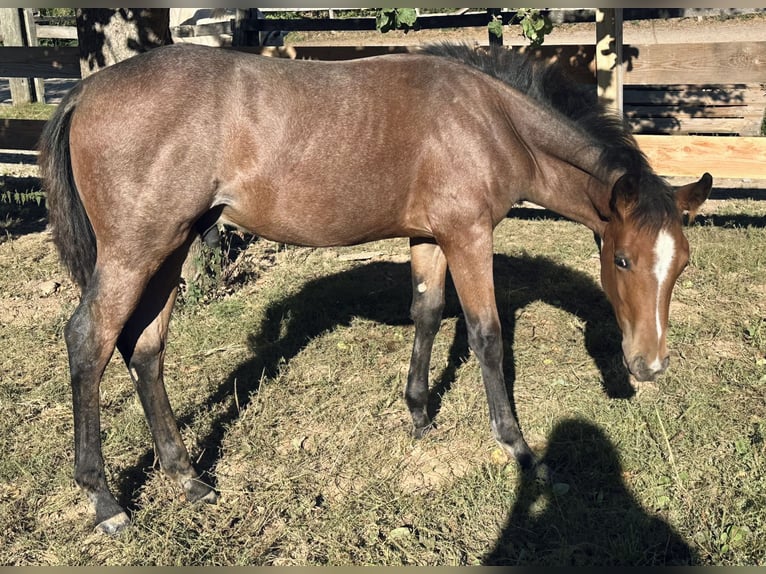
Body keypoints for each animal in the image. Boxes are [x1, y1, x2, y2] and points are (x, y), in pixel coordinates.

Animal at [39, 42, 712, 534]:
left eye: (680, 265)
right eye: (622, 260)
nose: (649, 366)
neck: (490, 120)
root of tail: (86, 89)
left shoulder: (430, 236)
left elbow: (428, 312)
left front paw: (418, 414)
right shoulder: (469, 235)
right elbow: (487, 335)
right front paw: (521, 450)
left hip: (173, 245)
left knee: (146, 349)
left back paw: (188, 479)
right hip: (136, 249)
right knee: (89, 340)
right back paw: (106, 502)